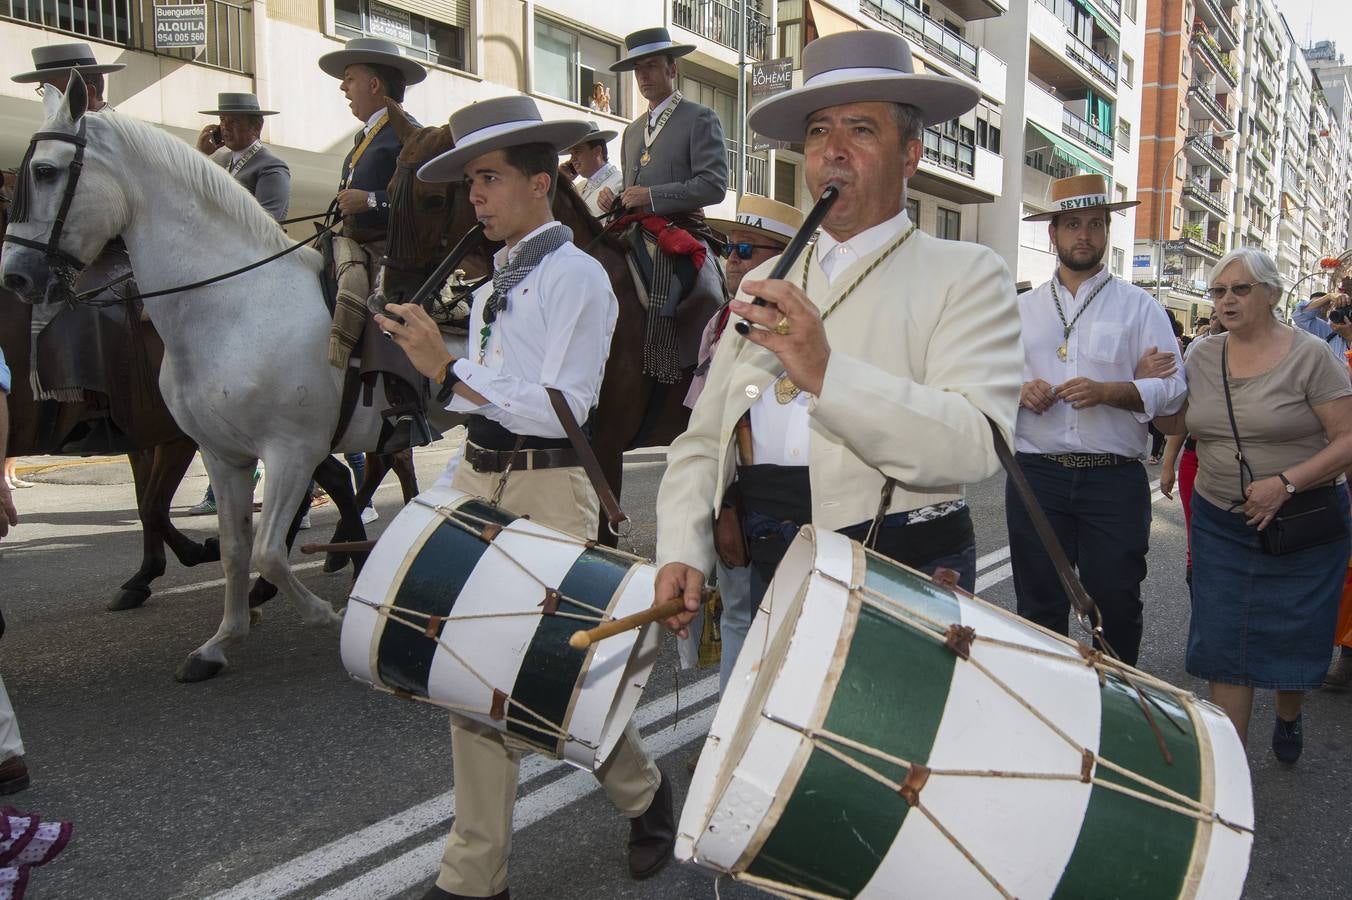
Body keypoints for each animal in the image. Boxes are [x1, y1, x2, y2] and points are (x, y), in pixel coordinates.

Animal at [3, 80, 386, 681]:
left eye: (43, 171)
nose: (14, 276)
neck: (235, 304)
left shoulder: (290, 449)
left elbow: (266, 551)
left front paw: (324, 614)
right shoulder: (220, 452)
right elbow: (234, 547)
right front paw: (220, 640)